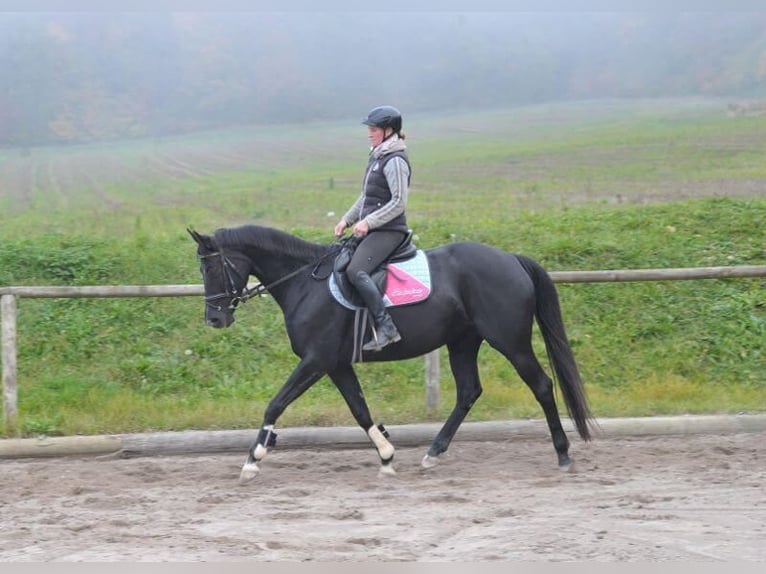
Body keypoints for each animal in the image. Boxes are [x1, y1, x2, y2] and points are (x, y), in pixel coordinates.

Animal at [189, 227, 596, 484]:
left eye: (211, 266)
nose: (214, 319)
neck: (305, 283)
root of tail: (511, 259)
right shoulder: (336, 364)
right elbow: (360, 409)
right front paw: (386, 455)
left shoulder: (316, 360)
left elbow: (275, 404)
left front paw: (253, 459)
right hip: (463, 342)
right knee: (468, 392)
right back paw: (433, 453)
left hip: (510, 341)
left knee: (541, 385)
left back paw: (563, 454)